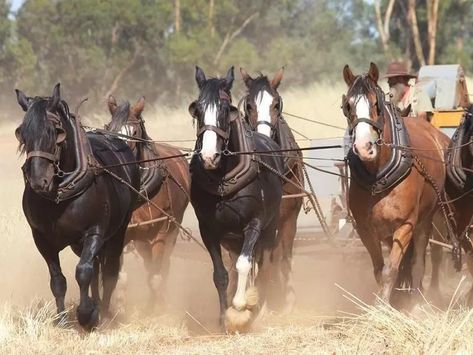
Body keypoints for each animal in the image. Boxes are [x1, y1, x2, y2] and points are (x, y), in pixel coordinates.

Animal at [14, 84, 139, 330]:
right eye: (22, 132)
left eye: (55, 131)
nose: (38, 181)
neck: (59, 194)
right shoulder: (42, 239)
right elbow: (58, 280)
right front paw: (63, 319)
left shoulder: (94, 232)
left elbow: (83, 272)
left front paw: (86, 315)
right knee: (96, 267)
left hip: (118, 230)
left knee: (108, 271)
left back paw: (104, 312)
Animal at [105, 96, 190, 308]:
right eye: (109, 129)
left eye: (134, 132)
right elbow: (119, 277)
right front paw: (118, 307)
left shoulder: (160, 231)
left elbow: (155, 276)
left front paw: (156, 308)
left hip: (172, 230)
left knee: (163, 266)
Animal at [188, 67, 284, 334]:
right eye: (198, 110)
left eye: (224, 109)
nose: (209, 156)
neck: (223, 178)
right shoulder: (208, 230)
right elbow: (221, 274)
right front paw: (224, 318)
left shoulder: (254, 224)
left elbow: (245, 264)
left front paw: (241, 307)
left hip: (270, 228)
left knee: (262, 265)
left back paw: (258, 308)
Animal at [342, 64, 448, 306]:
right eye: (348, 106)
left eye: (376, 104)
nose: (364, 147)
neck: (378, 177)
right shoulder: (365, 229)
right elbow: (379, 270)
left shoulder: (406, 224)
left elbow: (392, 269)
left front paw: (382, 308)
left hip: (430, 218)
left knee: (421, 261)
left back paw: (419, 300)